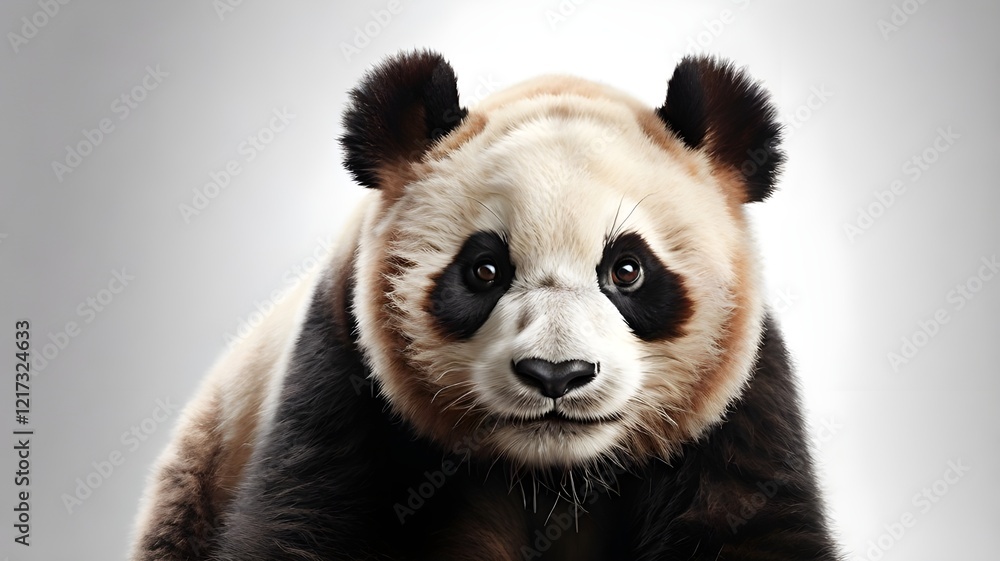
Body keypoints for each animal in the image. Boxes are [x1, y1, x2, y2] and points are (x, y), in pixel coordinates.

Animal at [131, 50, 840, 561]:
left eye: (628, 270)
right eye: (485, 269)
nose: (556, 375)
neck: (551, 475)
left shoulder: (740, 411)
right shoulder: (345, 383)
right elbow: (305, 521)